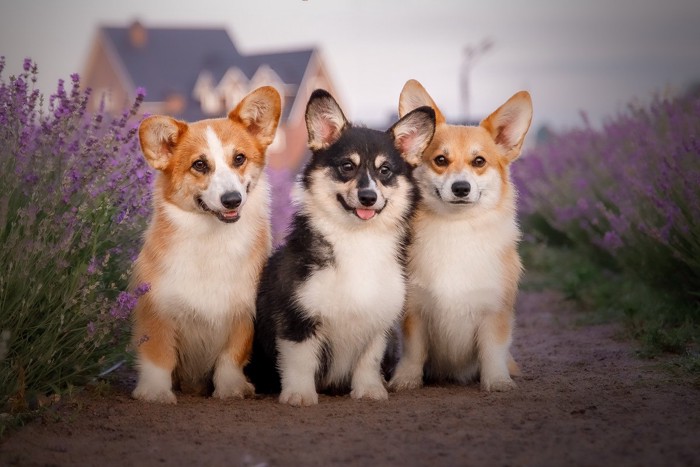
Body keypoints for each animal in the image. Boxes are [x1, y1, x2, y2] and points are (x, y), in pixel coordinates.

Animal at [131, 87, 282, 402]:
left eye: (239, 158)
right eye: (199, 165)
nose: (232, 200)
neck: (212, 238)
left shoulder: (242, 313)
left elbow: (230, 358)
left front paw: (232, 388)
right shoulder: (156, 311)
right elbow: (158, 357)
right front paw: (155, 392)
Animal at [243, 90, 434, 406]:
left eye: (385, 170)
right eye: (347, 166)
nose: (368, 197)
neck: (356, 239)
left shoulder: (378, 324)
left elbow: (369, 360)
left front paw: (369, 391)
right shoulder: (297, 318)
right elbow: (300, 361)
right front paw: (299, 395)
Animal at [392, 79, 532, 392]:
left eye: (479, 161)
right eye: (441, 160)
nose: (460, 188)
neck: (456, 228)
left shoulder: (494, 312)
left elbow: (492, 351)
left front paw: (497, 381)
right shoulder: (415, 312)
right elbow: (413, 351)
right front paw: (405, 379)